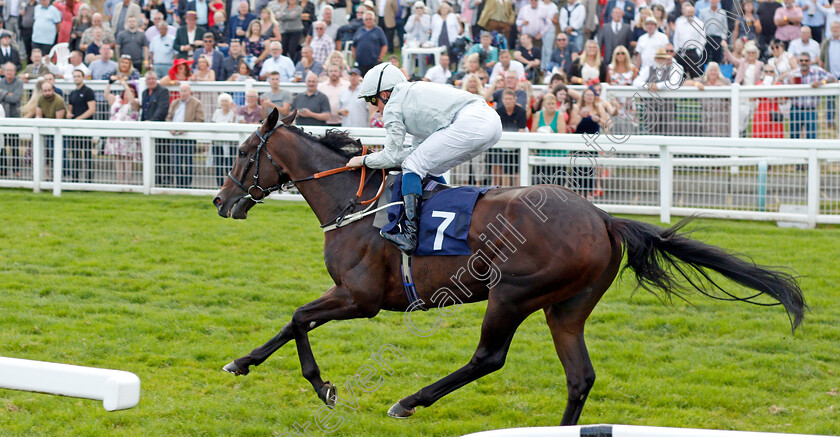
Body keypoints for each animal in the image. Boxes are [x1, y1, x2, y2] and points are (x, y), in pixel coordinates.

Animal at [212, 109, 808, 426]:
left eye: (242, 154)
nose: (221, 201)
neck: (353, 204)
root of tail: (604, 218)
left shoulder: (362, 299)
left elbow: (298, 318)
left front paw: (320, 386)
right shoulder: (351, 297)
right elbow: (293, 322)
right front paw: (247, 364)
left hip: (512, 294)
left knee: (488, 358)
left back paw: (408, 401)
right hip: (565, 308)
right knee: (580, 376)